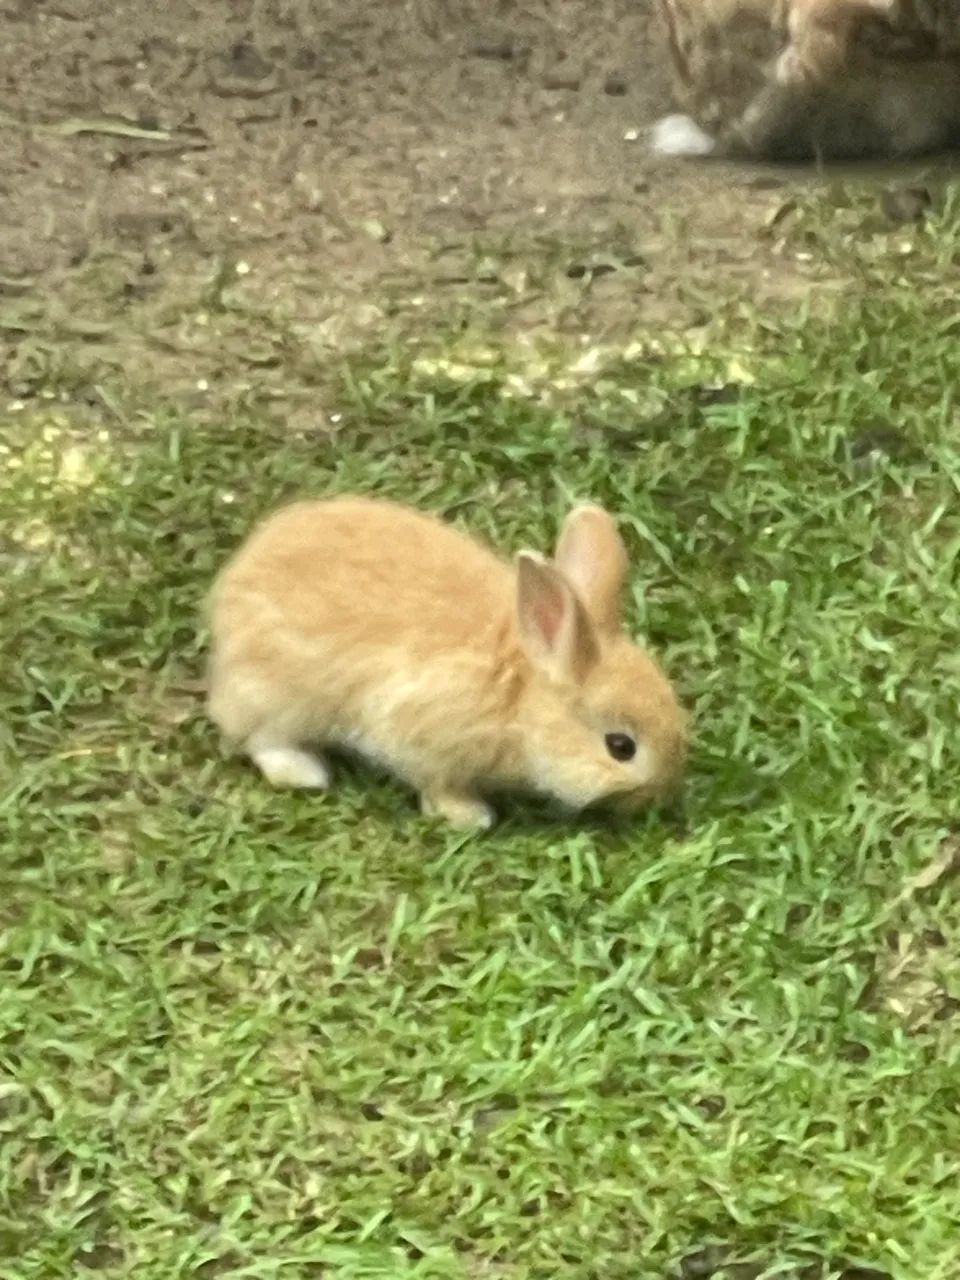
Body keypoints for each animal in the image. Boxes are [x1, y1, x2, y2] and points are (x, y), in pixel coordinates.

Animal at [206, 497, 687, 829]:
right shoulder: (423, 734)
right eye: (621, 747)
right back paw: (306, 773)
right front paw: (470, 816)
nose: (659, 795)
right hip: (276, 695)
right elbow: (437, 782)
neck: (520, 698)